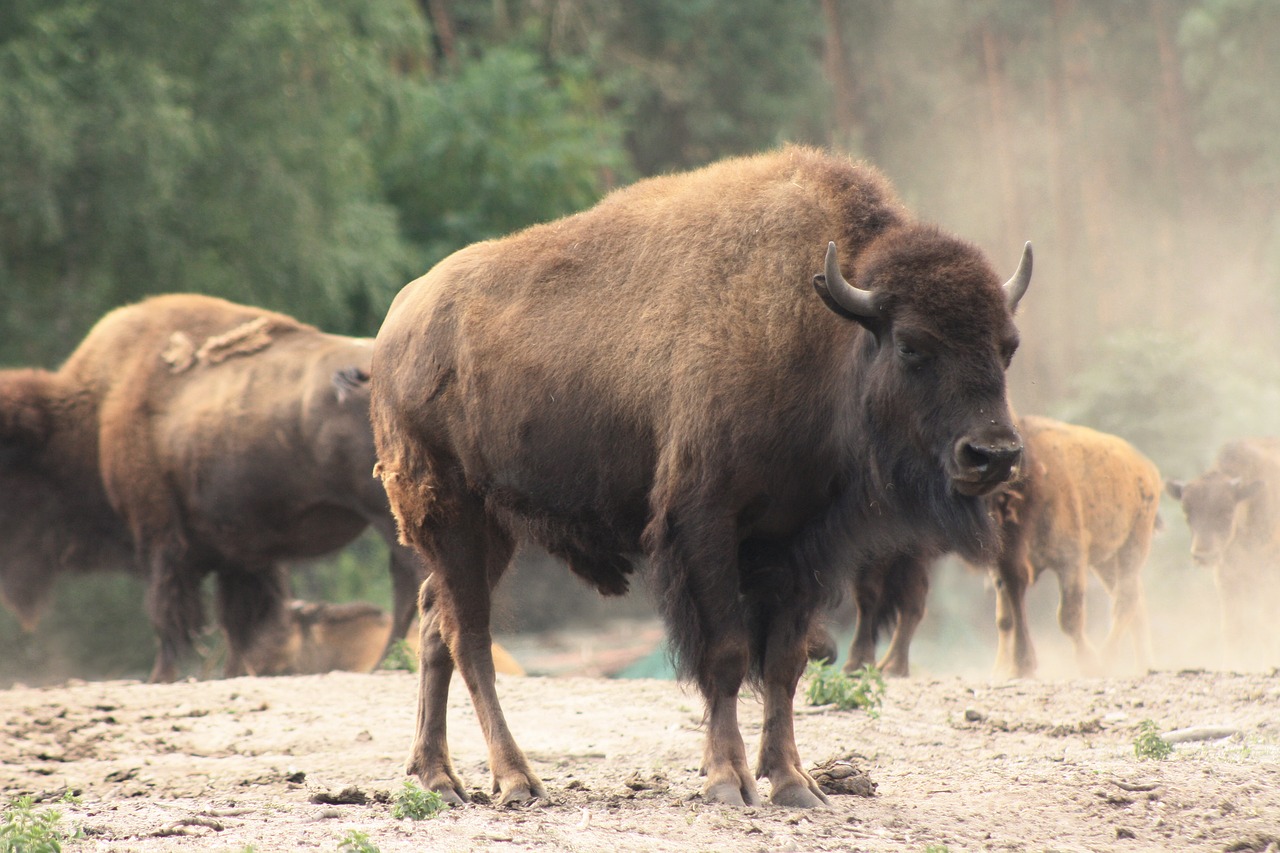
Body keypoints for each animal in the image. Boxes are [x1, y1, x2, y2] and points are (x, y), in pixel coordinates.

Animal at [0, 294, 425, 682]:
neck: (97, 408)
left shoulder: (161, 538)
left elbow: (170, 613)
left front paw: (164, 676)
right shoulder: (242, 556)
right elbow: (240, 618)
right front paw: (239, 671)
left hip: (387, 516)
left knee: (410, 581)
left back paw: (388, 662)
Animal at [371, 146, 1032, 808]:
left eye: (1008, 346)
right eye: (912, 346)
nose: (993, 454)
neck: (821, 329)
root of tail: (398, 320)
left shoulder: (799, 543)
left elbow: (785, 664)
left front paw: (794, 783)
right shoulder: (705, 525)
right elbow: (727, 654)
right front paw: (727, 781)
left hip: (492, 528)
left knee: (435, 619)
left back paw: (438, 775)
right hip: (451, 511)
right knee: (470, 637)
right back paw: (515, 778)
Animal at [1166, 438, 1280, 668]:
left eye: (1227, 511)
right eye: (1186, 512)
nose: (1203, 555)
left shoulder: (1270, 577)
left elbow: (1267, 624)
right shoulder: (1227, 577)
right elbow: (1233, 629)